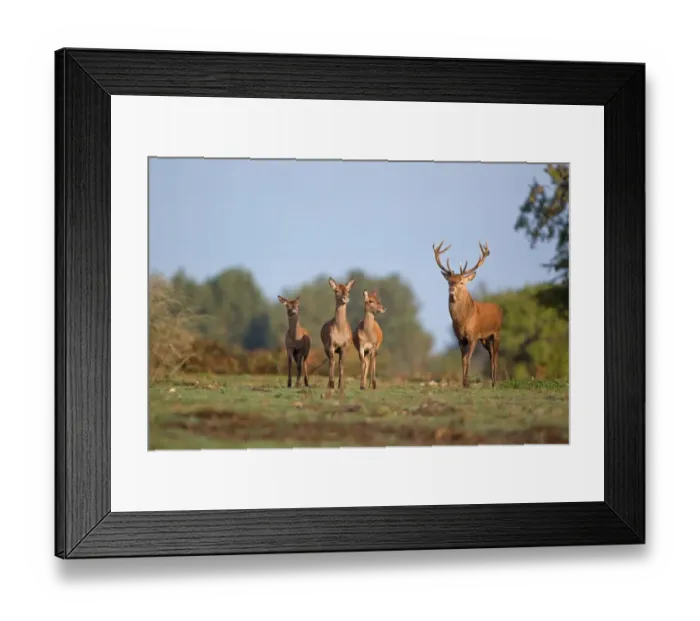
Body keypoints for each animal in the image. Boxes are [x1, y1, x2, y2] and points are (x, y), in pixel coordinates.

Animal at [432, 240, 503, 388]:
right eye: (449, 281)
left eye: (461, 282)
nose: (451, 290)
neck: (463, 320)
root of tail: (500, 308)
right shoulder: (460, 339)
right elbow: (463, 360)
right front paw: (464, 383)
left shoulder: (473, 336)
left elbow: (469, 359)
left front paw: (467, 382)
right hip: (485, 338)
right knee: (491, 354)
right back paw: (491, 381)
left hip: (497, 332)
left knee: (496, 355)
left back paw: (494, 382)